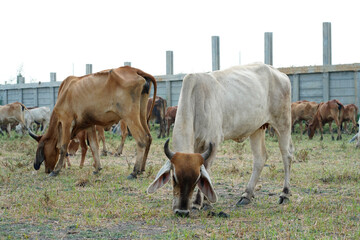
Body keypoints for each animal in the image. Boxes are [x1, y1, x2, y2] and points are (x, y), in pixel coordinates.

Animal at [148, 63, 294, 216]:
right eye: (174, 177)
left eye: (197, 180)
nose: (181, 211)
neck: (196, 98)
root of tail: (279, 73)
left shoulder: (213, 142)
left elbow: (206, 169)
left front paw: (202, 203)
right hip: (257, 128)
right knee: (260, 158)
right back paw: (246, 195)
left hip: (283, 123)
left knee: (287, 155)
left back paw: (284, 194)